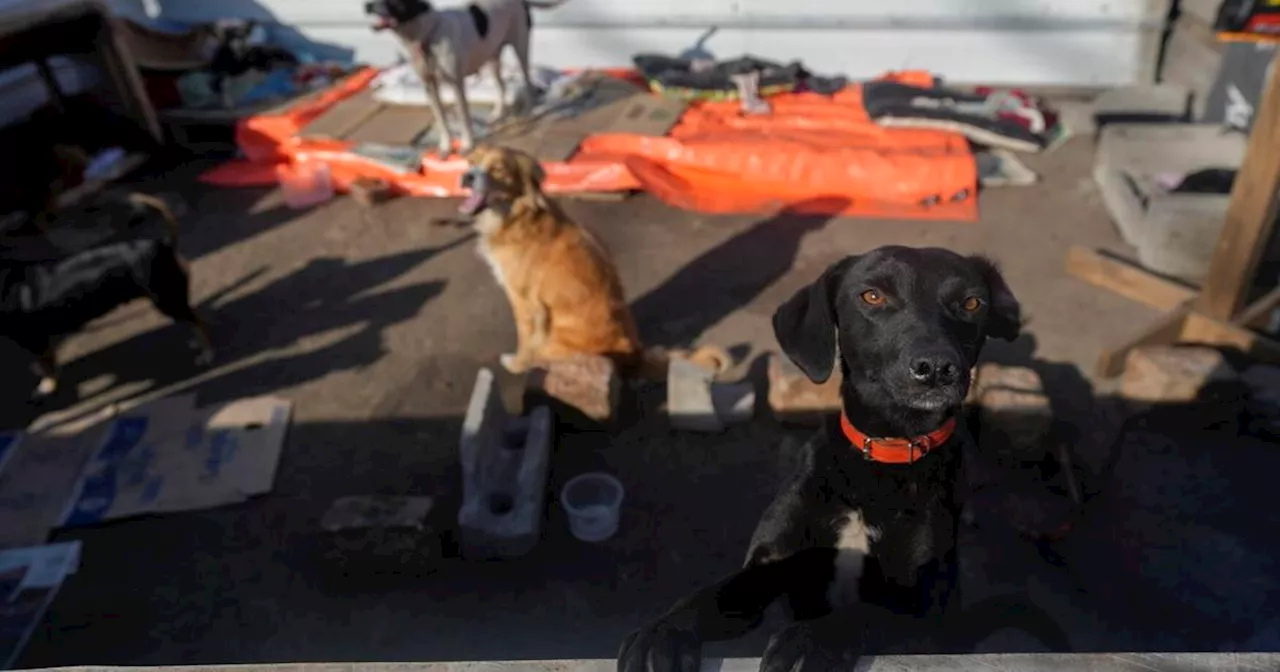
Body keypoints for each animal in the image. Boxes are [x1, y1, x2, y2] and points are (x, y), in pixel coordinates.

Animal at [0, 193, 212, 404]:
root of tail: (163, 243)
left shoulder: (34, 340)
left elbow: (47, 365)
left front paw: (47, 387)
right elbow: (48, 361)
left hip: (165, 300)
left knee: (197, 320)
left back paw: (207, 353)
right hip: (171, 299)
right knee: (193, 316)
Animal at [368, 0, 573, 157]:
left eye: (393, 1)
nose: (367, 6)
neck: (428, 35)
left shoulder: (457, 85)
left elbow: (464, 119)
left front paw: (467, 145)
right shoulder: (430, 87)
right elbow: (442, 121)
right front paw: (445, 147)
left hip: (520, 48)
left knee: (528, 81)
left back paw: (528, 111)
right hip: (492, 57)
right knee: (501, 85)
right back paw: (497, 113)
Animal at [460, 145, 727, 376]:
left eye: (497, 169)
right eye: (472, 162)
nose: (467, 177)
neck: (517, 216)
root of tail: (635, 354)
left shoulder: (523, 300)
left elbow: (525, 340)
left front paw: (516, 365)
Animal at [619, 247, 1070, 670]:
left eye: (972, 302)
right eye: (872, 295)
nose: (937, 368)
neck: (880, 455)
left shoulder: (921, 615)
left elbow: (863, 613)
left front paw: (808, 640)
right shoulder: (770, 566)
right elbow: (713, 595)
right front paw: (663, 632)